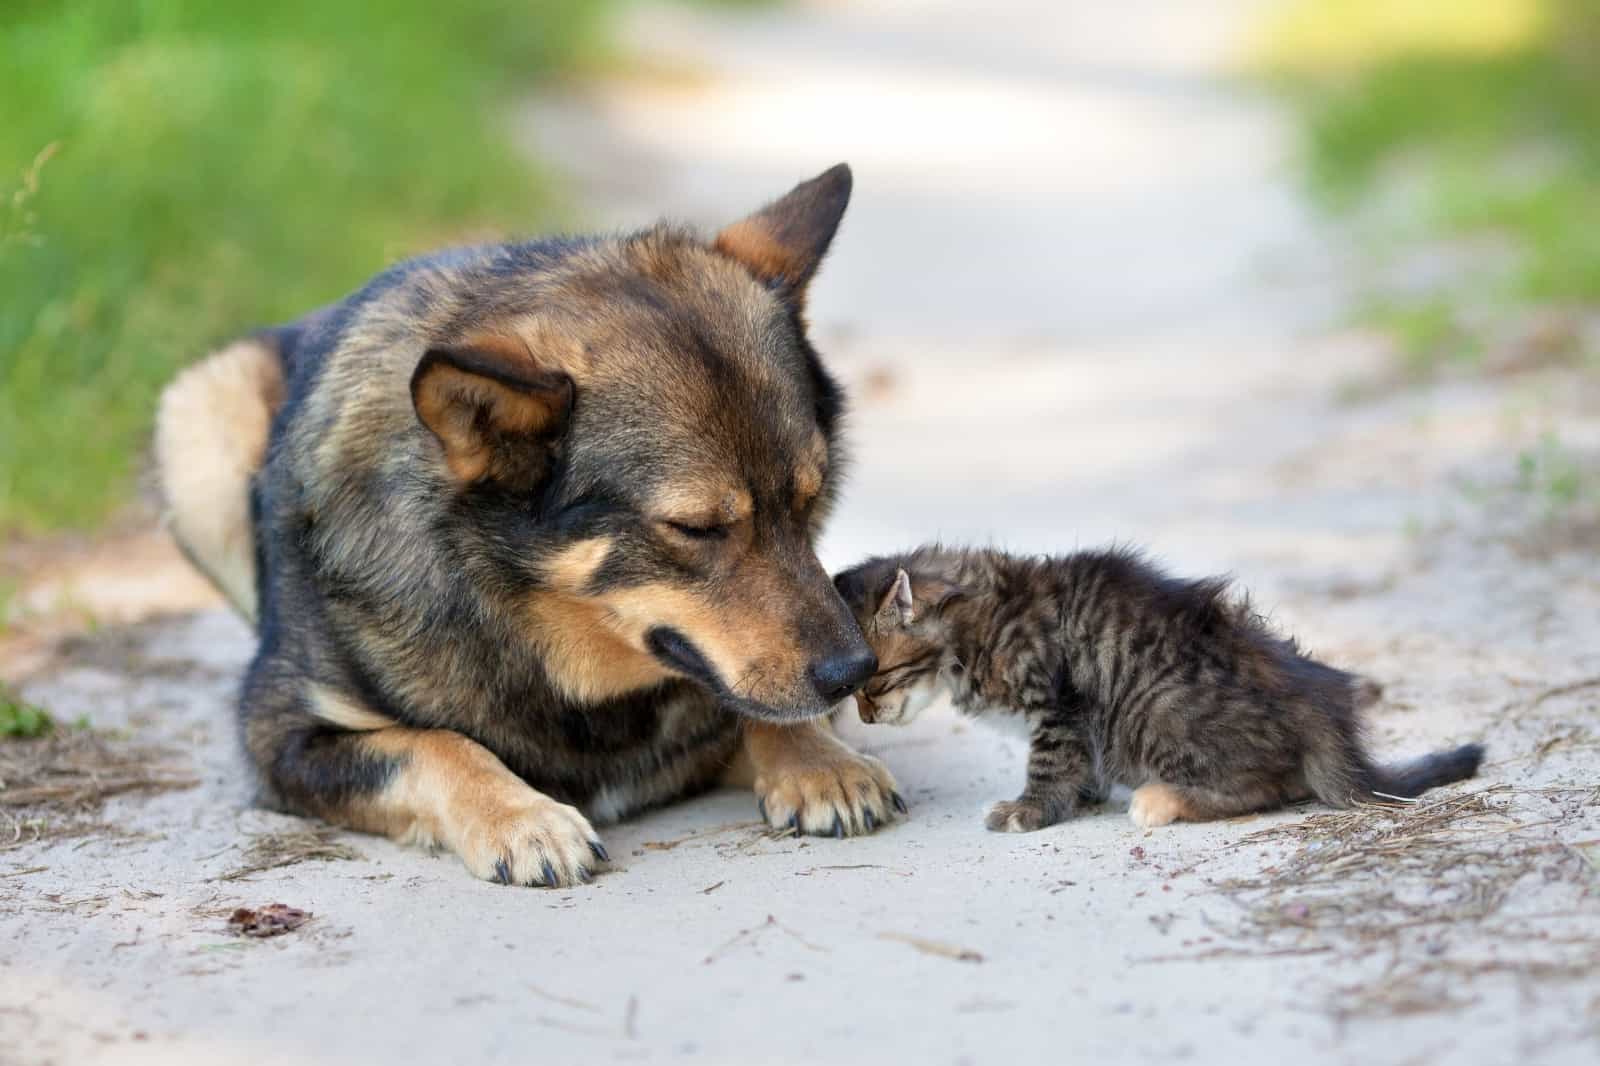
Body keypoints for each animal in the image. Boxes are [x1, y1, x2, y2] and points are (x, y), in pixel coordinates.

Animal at [156, 164, 908, 877]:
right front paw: (521, 818)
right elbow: (434, 744)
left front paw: (820, 763)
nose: (854, 672)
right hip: (201, 412)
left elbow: (754, 709)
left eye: (809, 499)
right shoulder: (282, 737)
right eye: (696, 529)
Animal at [832, 547, 1478, 832]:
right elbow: (1078, 766)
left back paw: (1161, 800)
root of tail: (1319, 707)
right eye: (853, 691)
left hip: (1155, 710)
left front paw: (1029, 810)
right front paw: (1083, 797)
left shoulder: (1060, 705)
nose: (865, 720)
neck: (979, 621)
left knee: (1267, 785)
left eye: (875, 681)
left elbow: (1049, 764)